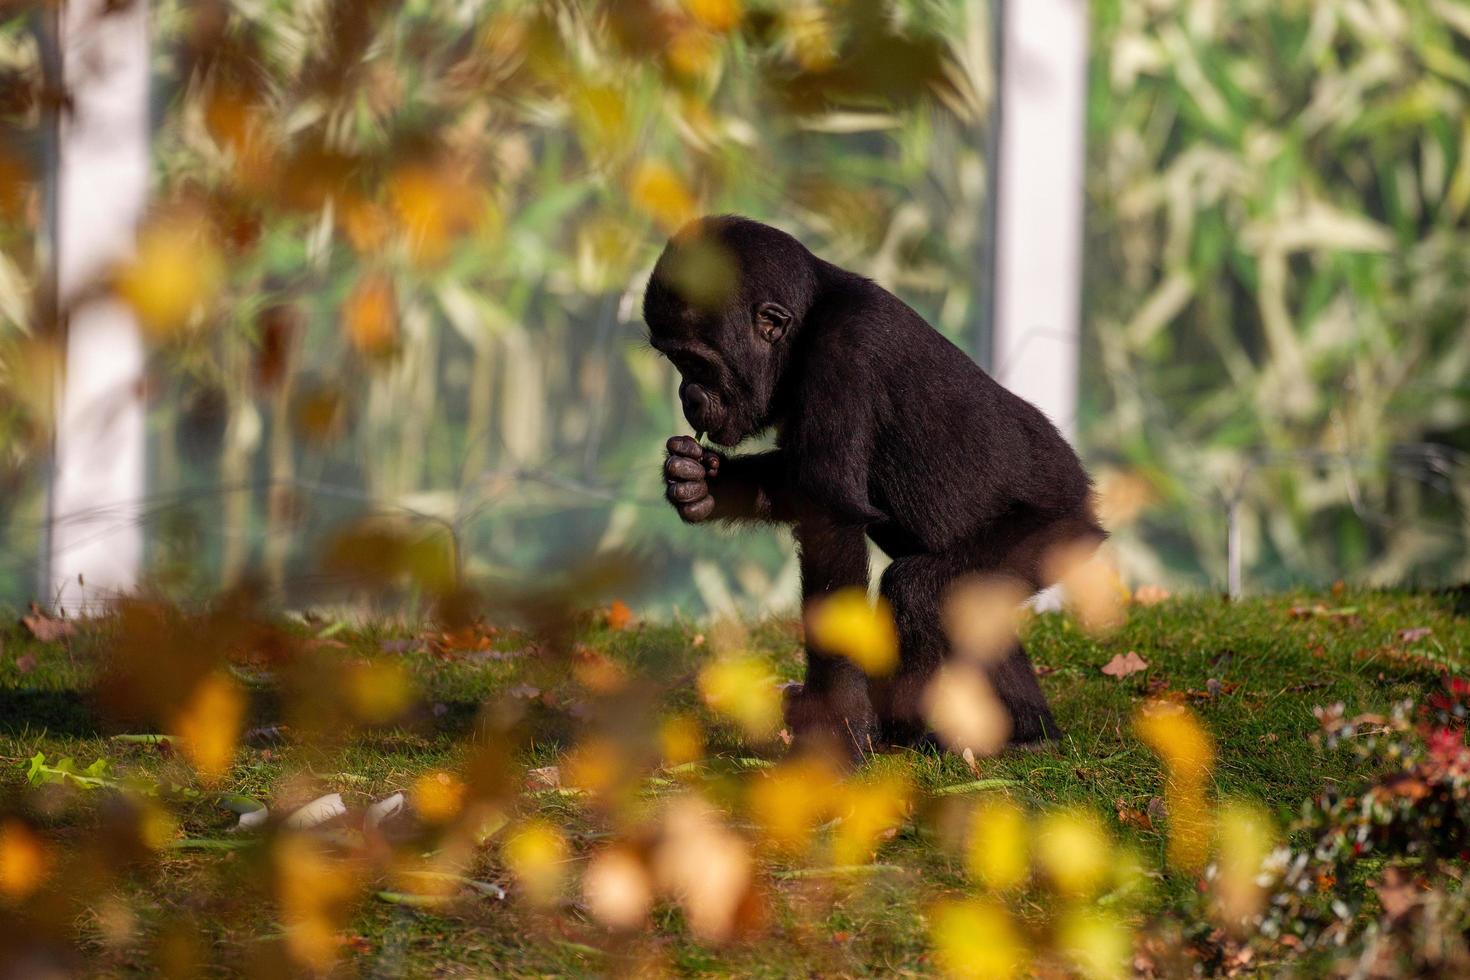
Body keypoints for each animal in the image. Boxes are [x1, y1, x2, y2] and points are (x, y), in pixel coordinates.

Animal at [643, 215, 1105, 758]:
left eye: (696, 364)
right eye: (675, 363)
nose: (686, 396)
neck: (808, 323)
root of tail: (1088, 502)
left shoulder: (843, 355)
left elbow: (830, 517)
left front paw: (839, 718)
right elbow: (797, 488)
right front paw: (703, 483)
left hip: (1054, 533)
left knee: (920, 593)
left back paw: (911, 735)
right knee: (972, 608)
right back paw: (1029, 731)